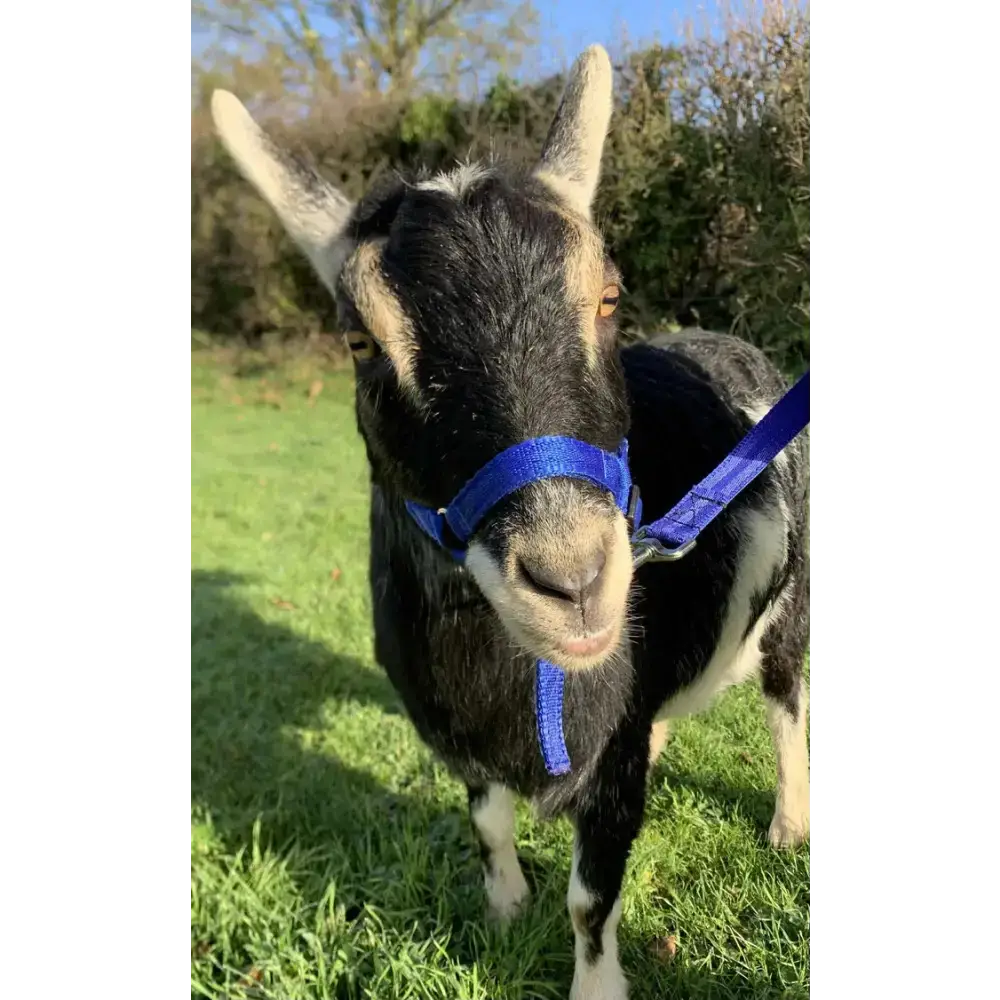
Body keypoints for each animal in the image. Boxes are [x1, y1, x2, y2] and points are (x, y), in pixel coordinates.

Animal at [210, 44, 810, 1000]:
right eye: (359, 341)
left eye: (607, 298)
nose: (574, 579)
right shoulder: (454, 732)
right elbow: (488, 820)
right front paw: (503, 907)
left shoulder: (609, 764)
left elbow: (592, 896)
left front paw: (595, 986)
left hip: (793, 588)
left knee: (786, 692)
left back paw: (790, 822)